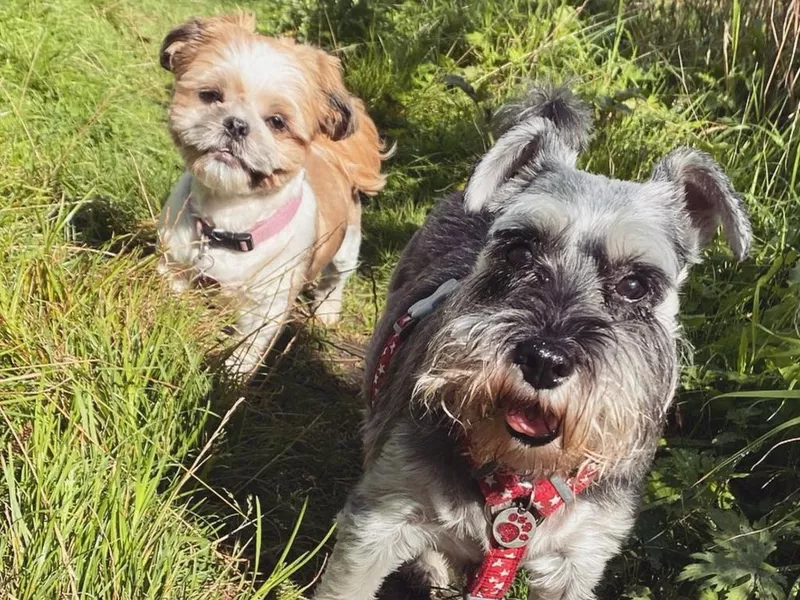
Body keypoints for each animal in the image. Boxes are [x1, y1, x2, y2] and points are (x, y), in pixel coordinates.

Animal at [157, 12, 388, 376]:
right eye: (210, 95)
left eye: (277, 122)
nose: (236, 124)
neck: (229, 221)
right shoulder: (174, 267)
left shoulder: (265, 310)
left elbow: (244, 354)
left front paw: (231, 380)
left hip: (347, 244)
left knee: (335, 279)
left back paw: (327, 310)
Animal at [312, 85, 752, 600]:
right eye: (519, 250)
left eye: (635, 285)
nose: (544, 359)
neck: (518, 477)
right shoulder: (379, 522)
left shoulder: (578, 560)